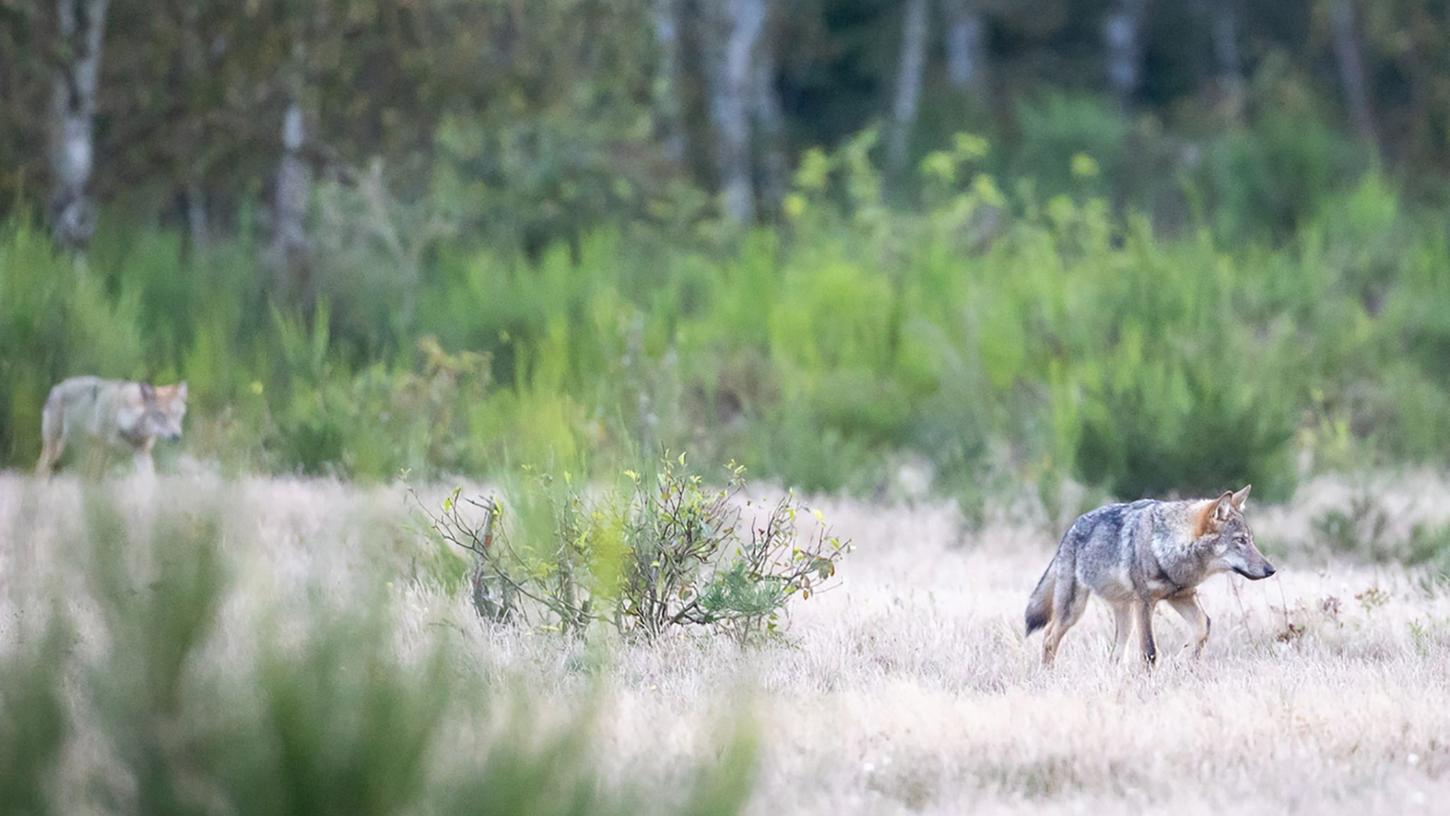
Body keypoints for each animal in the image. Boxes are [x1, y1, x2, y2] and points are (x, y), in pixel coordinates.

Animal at [35, 379, 188, 478]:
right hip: (57, 447)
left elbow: (150, 479)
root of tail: (55, 388)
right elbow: (95, 477)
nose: (177, 436)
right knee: (41, 468)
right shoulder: (104, 449)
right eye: (161, 415)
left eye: (178, 415)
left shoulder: (142, 452)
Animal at [1026, 484, 1276, 663]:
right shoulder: (1145, 602)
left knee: (1115, 654)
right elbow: (1150, 651)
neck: (1168, 546)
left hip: (1125, 616)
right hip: (1074, 610)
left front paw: (1183, 661)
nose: (1271, 570)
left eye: (1251, 540)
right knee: (1049, 637)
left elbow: (1203, 628)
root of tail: (1070, 529)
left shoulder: (1182, 596)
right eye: (1240, 541)